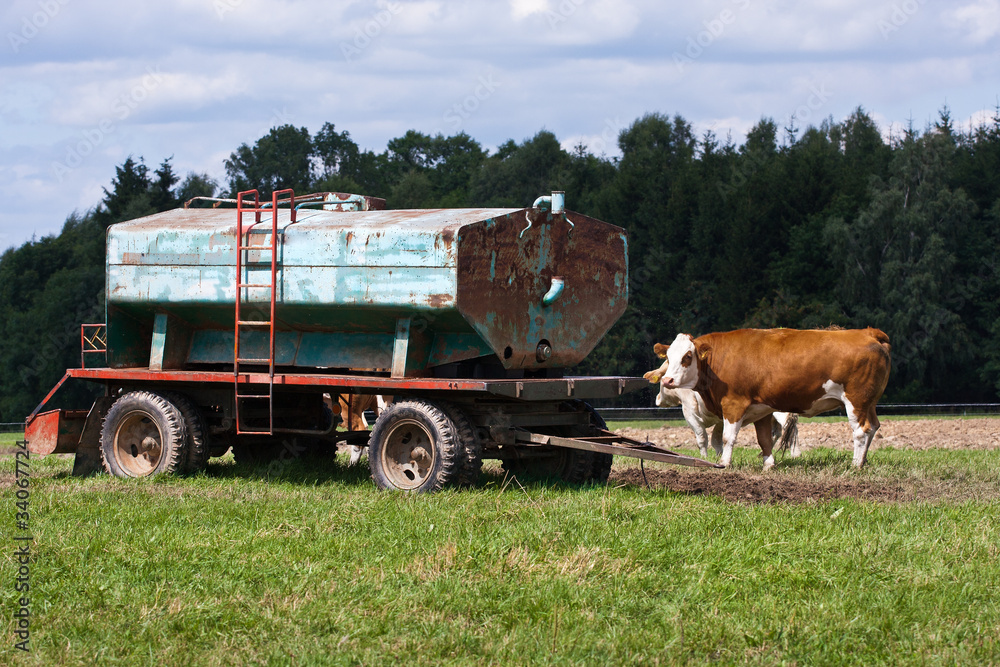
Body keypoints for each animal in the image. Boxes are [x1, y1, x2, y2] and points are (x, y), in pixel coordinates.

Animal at [650, 328, 890, 469]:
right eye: (668, 357)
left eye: (687, 356)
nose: (668, 380)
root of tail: (868, 333)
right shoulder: (762, 409)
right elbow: (764, 438)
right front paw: (768, 464)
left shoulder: (733, 405)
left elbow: (728, 438)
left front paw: (725, 463)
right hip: (869, 403)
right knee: (873, 427)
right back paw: (863, 461)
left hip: (856, 401)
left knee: (861, 431)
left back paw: (855, 464)